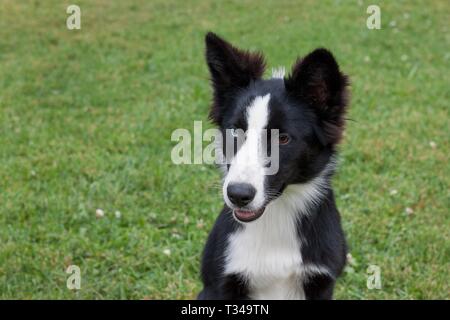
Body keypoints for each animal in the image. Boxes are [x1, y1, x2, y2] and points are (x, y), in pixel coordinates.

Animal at [199, 32, 350, 300]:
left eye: (283, 139)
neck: (276, 215)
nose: (238, 195)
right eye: (235, 131)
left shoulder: (321, 281)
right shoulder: (220, 285)